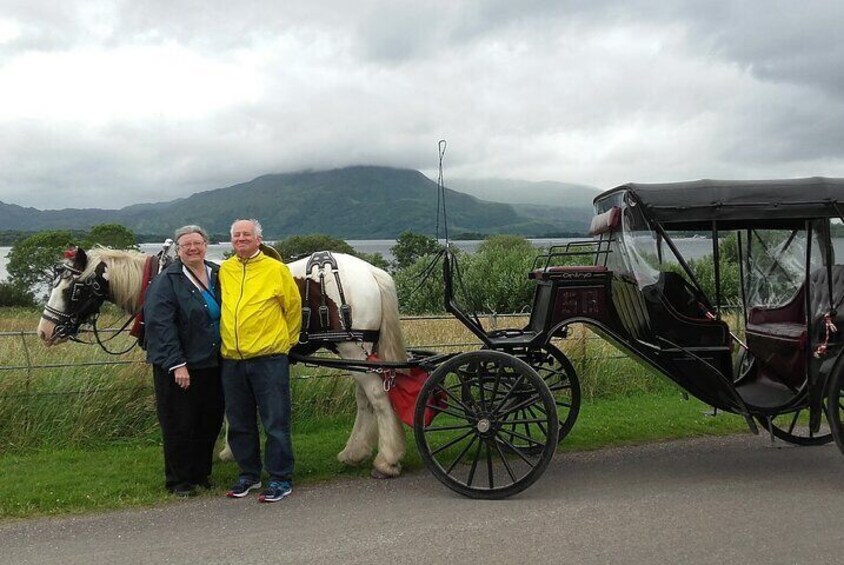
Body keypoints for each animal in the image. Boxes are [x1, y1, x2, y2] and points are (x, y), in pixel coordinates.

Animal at [38, 246, 408, 476]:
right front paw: (232, 449)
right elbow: (233, 405)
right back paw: (354, 452)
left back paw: (387, 459)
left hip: (352, 347)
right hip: (357, 351)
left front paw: (229, 450)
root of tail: (371, 272)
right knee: (365, 399)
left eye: (72, 290)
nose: (45, 331)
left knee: (377, 397)